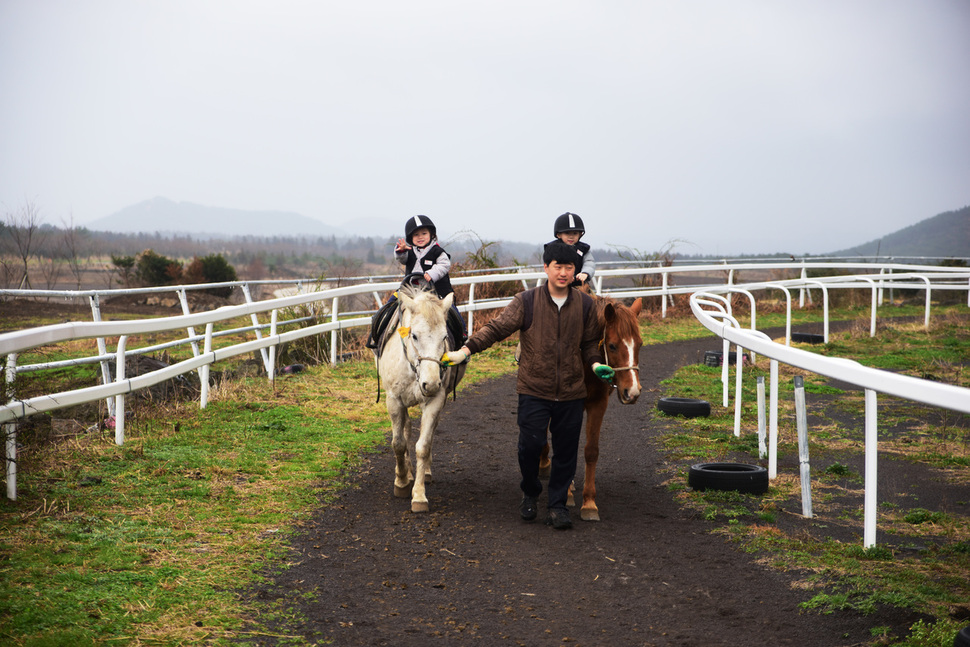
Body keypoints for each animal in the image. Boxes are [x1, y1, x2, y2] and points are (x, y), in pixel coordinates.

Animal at [374, 286, 466, 512]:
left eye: (444, 336)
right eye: (414, 336)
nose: (431, 383)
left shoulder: (435, 401)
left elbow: (423, 446)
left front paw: (419, 495)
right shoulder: (394, 401)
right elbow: (399, 443)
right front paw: (401, 482)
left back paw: (424, 473)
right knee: (405, 430)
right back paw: (406, 472)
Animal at [536, 294, 644, 520]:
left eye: (640, 344)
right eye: (612, 346)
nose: (632, 391)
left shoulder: (598, 403)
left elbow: (591, 450)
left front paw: (589, 502)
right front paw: (566, 494)